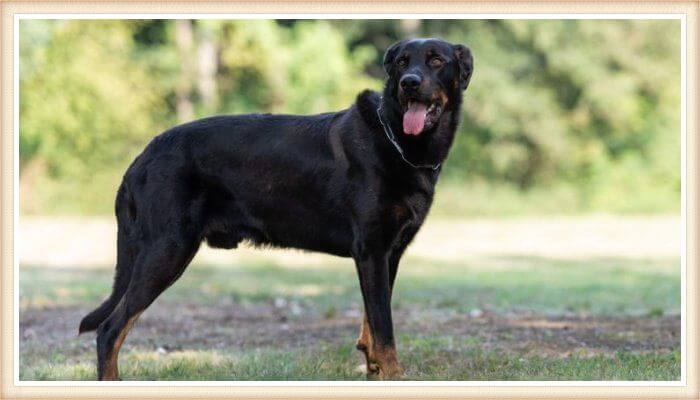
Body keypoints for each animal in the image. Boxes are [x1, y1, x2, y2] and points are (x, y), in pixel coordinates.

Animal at [79, 38, 474, 382]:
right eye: (402, 63)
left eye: (436, 60)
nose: (410, 83)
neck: (398, 141)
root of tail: (141, 159)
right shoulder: (373, 250)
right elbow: (384, 327)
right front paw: (393, 375)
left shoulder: (388, 253)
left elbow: (373, 323)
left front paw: (375, 369)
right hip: (167, 250)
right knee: (109, 330)